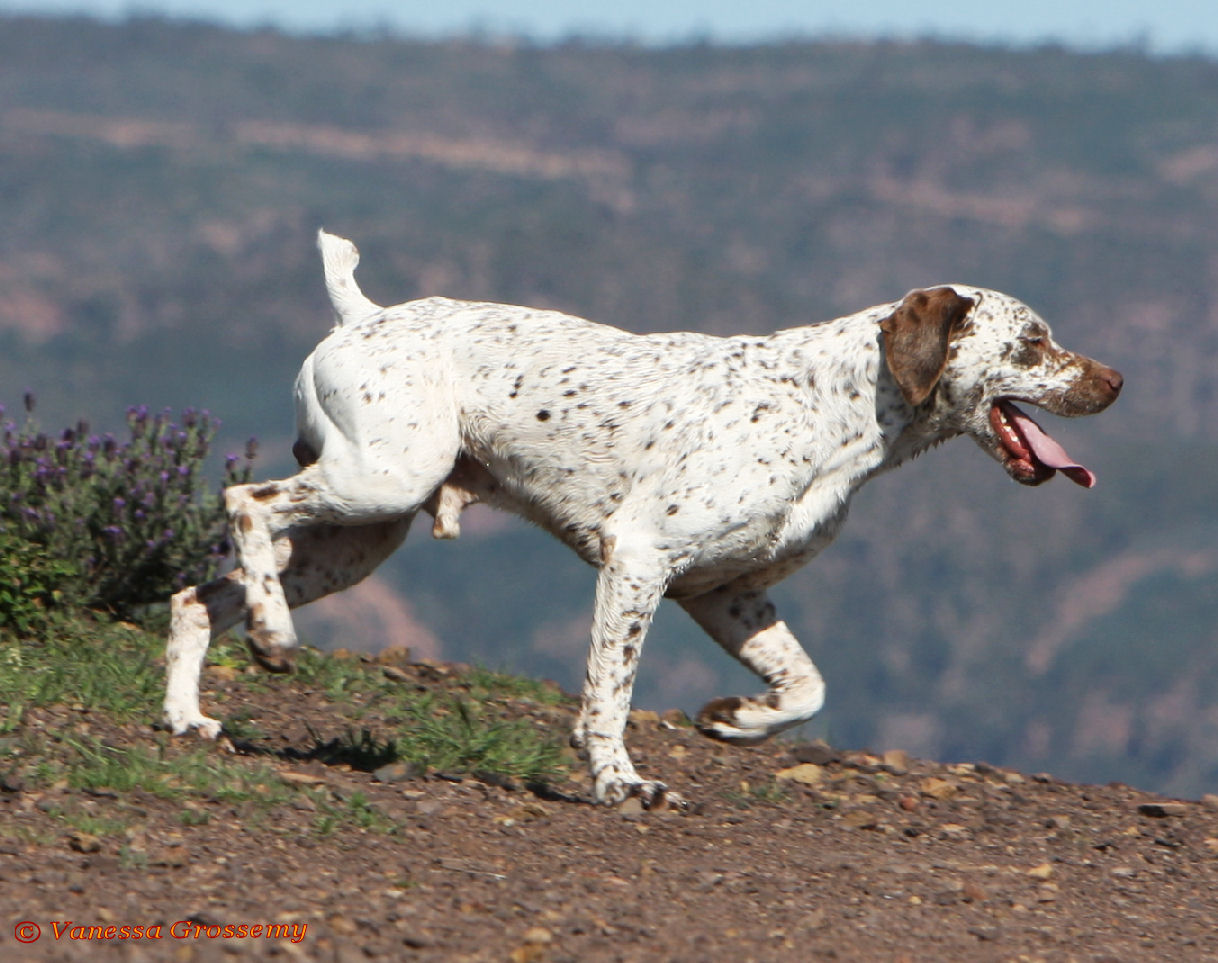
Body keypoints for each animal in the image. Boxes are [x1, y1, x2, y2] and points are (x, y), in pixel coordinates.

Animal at [164, 231, 1120, 808]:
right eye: (1034, 340)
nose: (1115, 382)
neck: (837, 406)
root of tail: (363, 315)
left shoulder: (727, 594)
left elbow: (806, 688)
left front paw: (737, 717)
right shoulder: (638, 562)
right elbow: (609, 698)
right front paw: (621, 783)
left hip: (361, 536)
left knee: (194, 597)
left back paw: (189, 714)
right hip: (378, 484)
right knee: (244, 505)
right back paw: (273, 633)